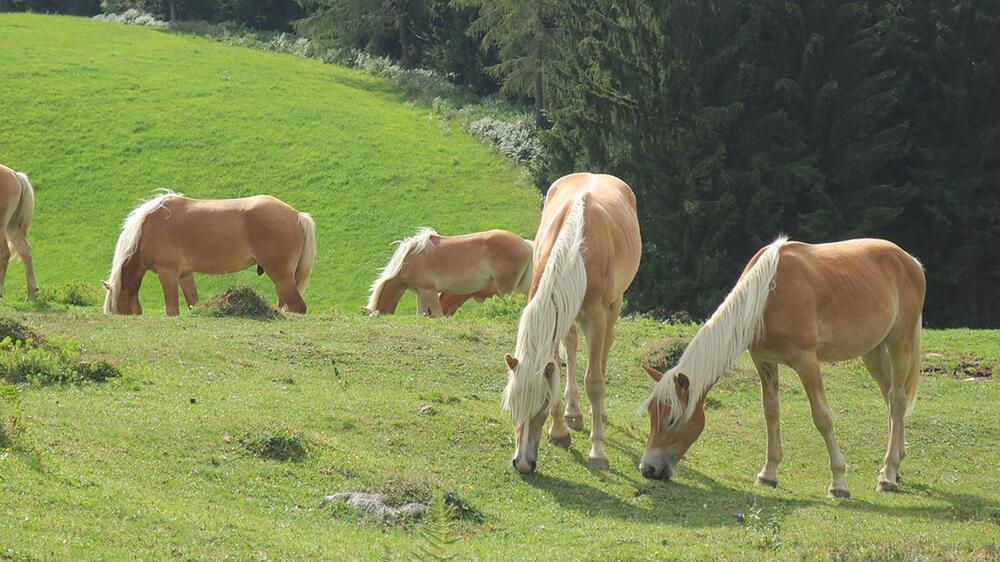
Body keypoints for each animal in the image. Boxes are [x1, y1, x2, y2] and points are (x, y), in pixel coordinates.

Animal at [103, 191, 314, 316]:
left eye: (117, 310)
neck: (148, 228)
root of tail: (297, 215)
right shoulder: (185, 275)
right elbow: (193, 303)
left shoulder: (167, 274)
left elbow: (172, 310)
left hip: (281, 276)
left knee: (298, 307)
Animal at [368, 226, 536, 316]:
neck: (407, 261)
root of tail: (524, 243)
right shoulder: (421, 293)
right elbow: (421, 314)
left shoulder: (429, 291)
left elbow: (438, 315)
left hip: (505, 289)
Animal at [500, 173, 640, 470]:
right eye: (512, 404)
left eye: (541, 404)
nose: (523, 463)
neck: (576, 251)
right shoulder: (556, 317)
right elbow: (558, 366)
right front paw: (559, 432)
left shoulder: (597, 318)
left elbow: (594, 383)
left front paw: (598, 452)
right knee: (573, 349)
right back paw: (573, 412)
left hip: (614, 306)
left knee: (604, 351)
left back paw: (599, 413)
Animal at [636, 236, 924, 494]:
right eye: (651, 414)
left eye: (672, 419)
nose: (648, 469)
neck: (765, 296)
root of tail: (910, 261)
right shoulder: (763, 361)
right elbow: (771, 412)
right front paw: (769, 474)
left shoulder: (806, 361)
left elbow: (822, 418)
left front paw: (839, 482)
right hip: (872, 352)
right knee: (889, 397)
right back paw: (896, 463)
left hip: (899, 343)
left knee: (897, 400)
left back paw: (888, 475)